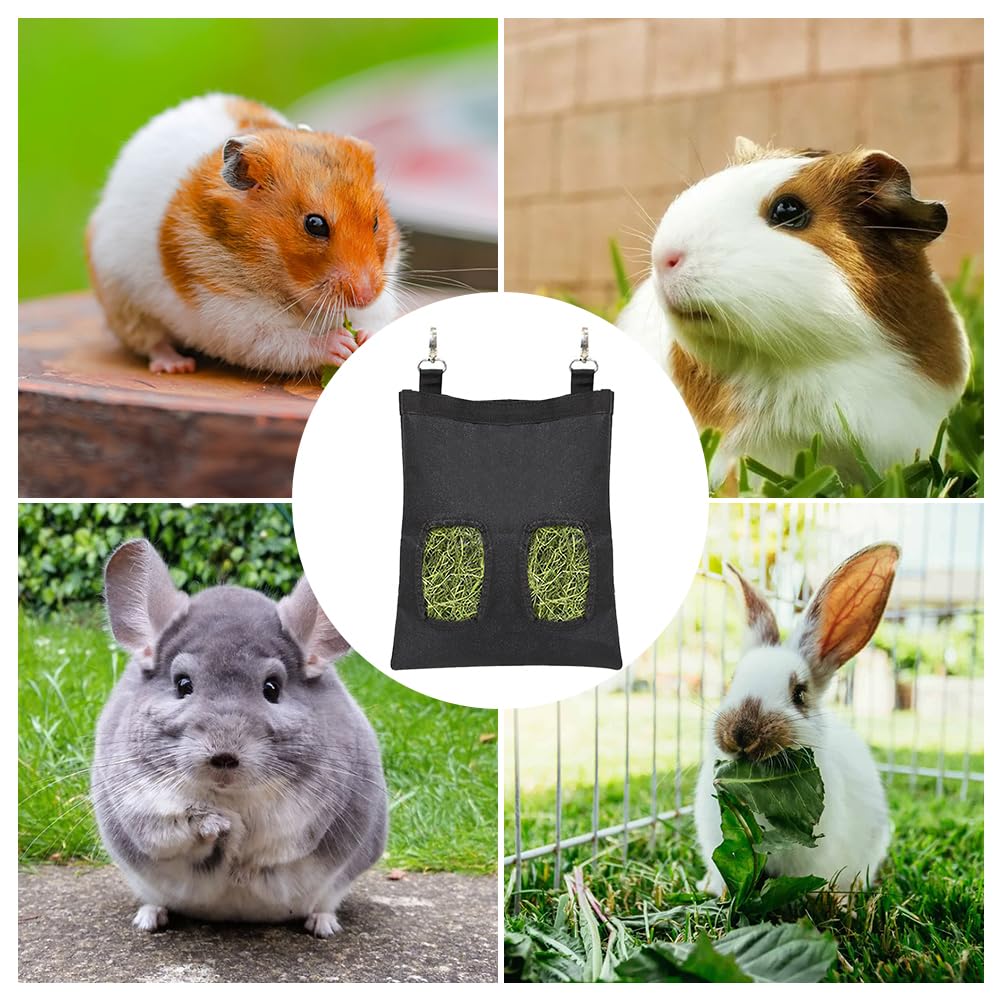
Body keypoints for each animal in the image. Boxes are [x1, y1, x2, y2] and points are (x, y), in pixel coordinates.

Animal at [91, 538, 388, 937]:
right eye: (183, 685)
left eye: (272, 689)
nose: (224, 756)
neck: (230, 796)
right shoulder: (140, 802)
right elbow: (171, 831)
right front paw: (220, 826)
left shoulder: (308, 813)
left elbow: (272, 843)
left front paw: (239, 852)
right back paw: (149, 918)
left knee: (324, 902)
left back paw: (322, 925)